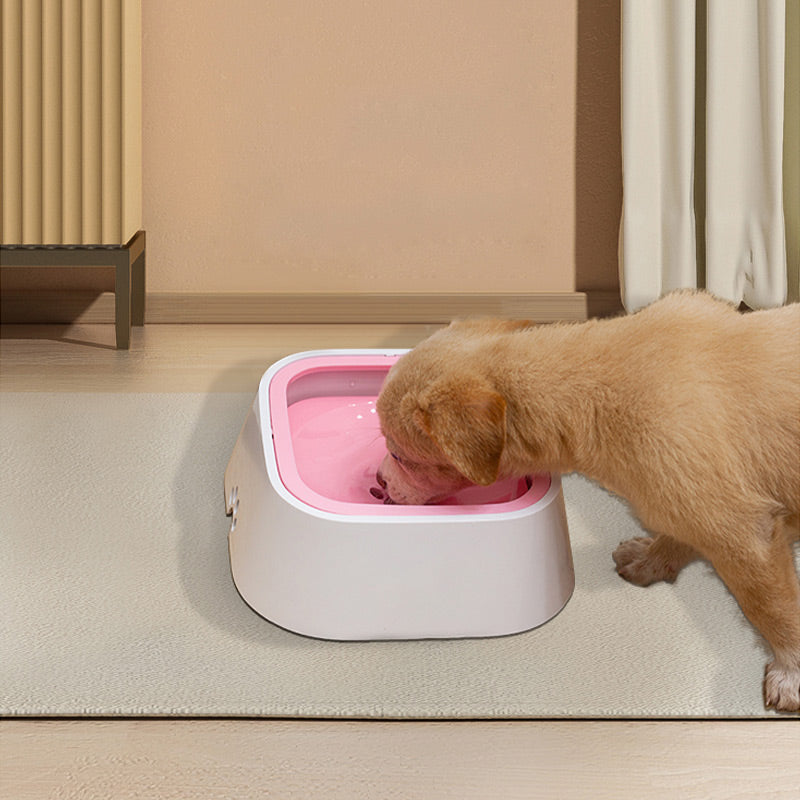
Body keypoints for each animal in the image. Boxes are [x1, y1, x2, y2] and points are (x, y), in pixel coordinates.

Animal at [376, 292, 800, 712]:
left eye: (398, 456)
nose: (378, 483)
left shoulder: (742, 533)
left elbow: (772, 607)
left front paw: (791, 673)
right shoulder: (695, 502)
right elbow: (676, 534)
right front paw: (651, 560)